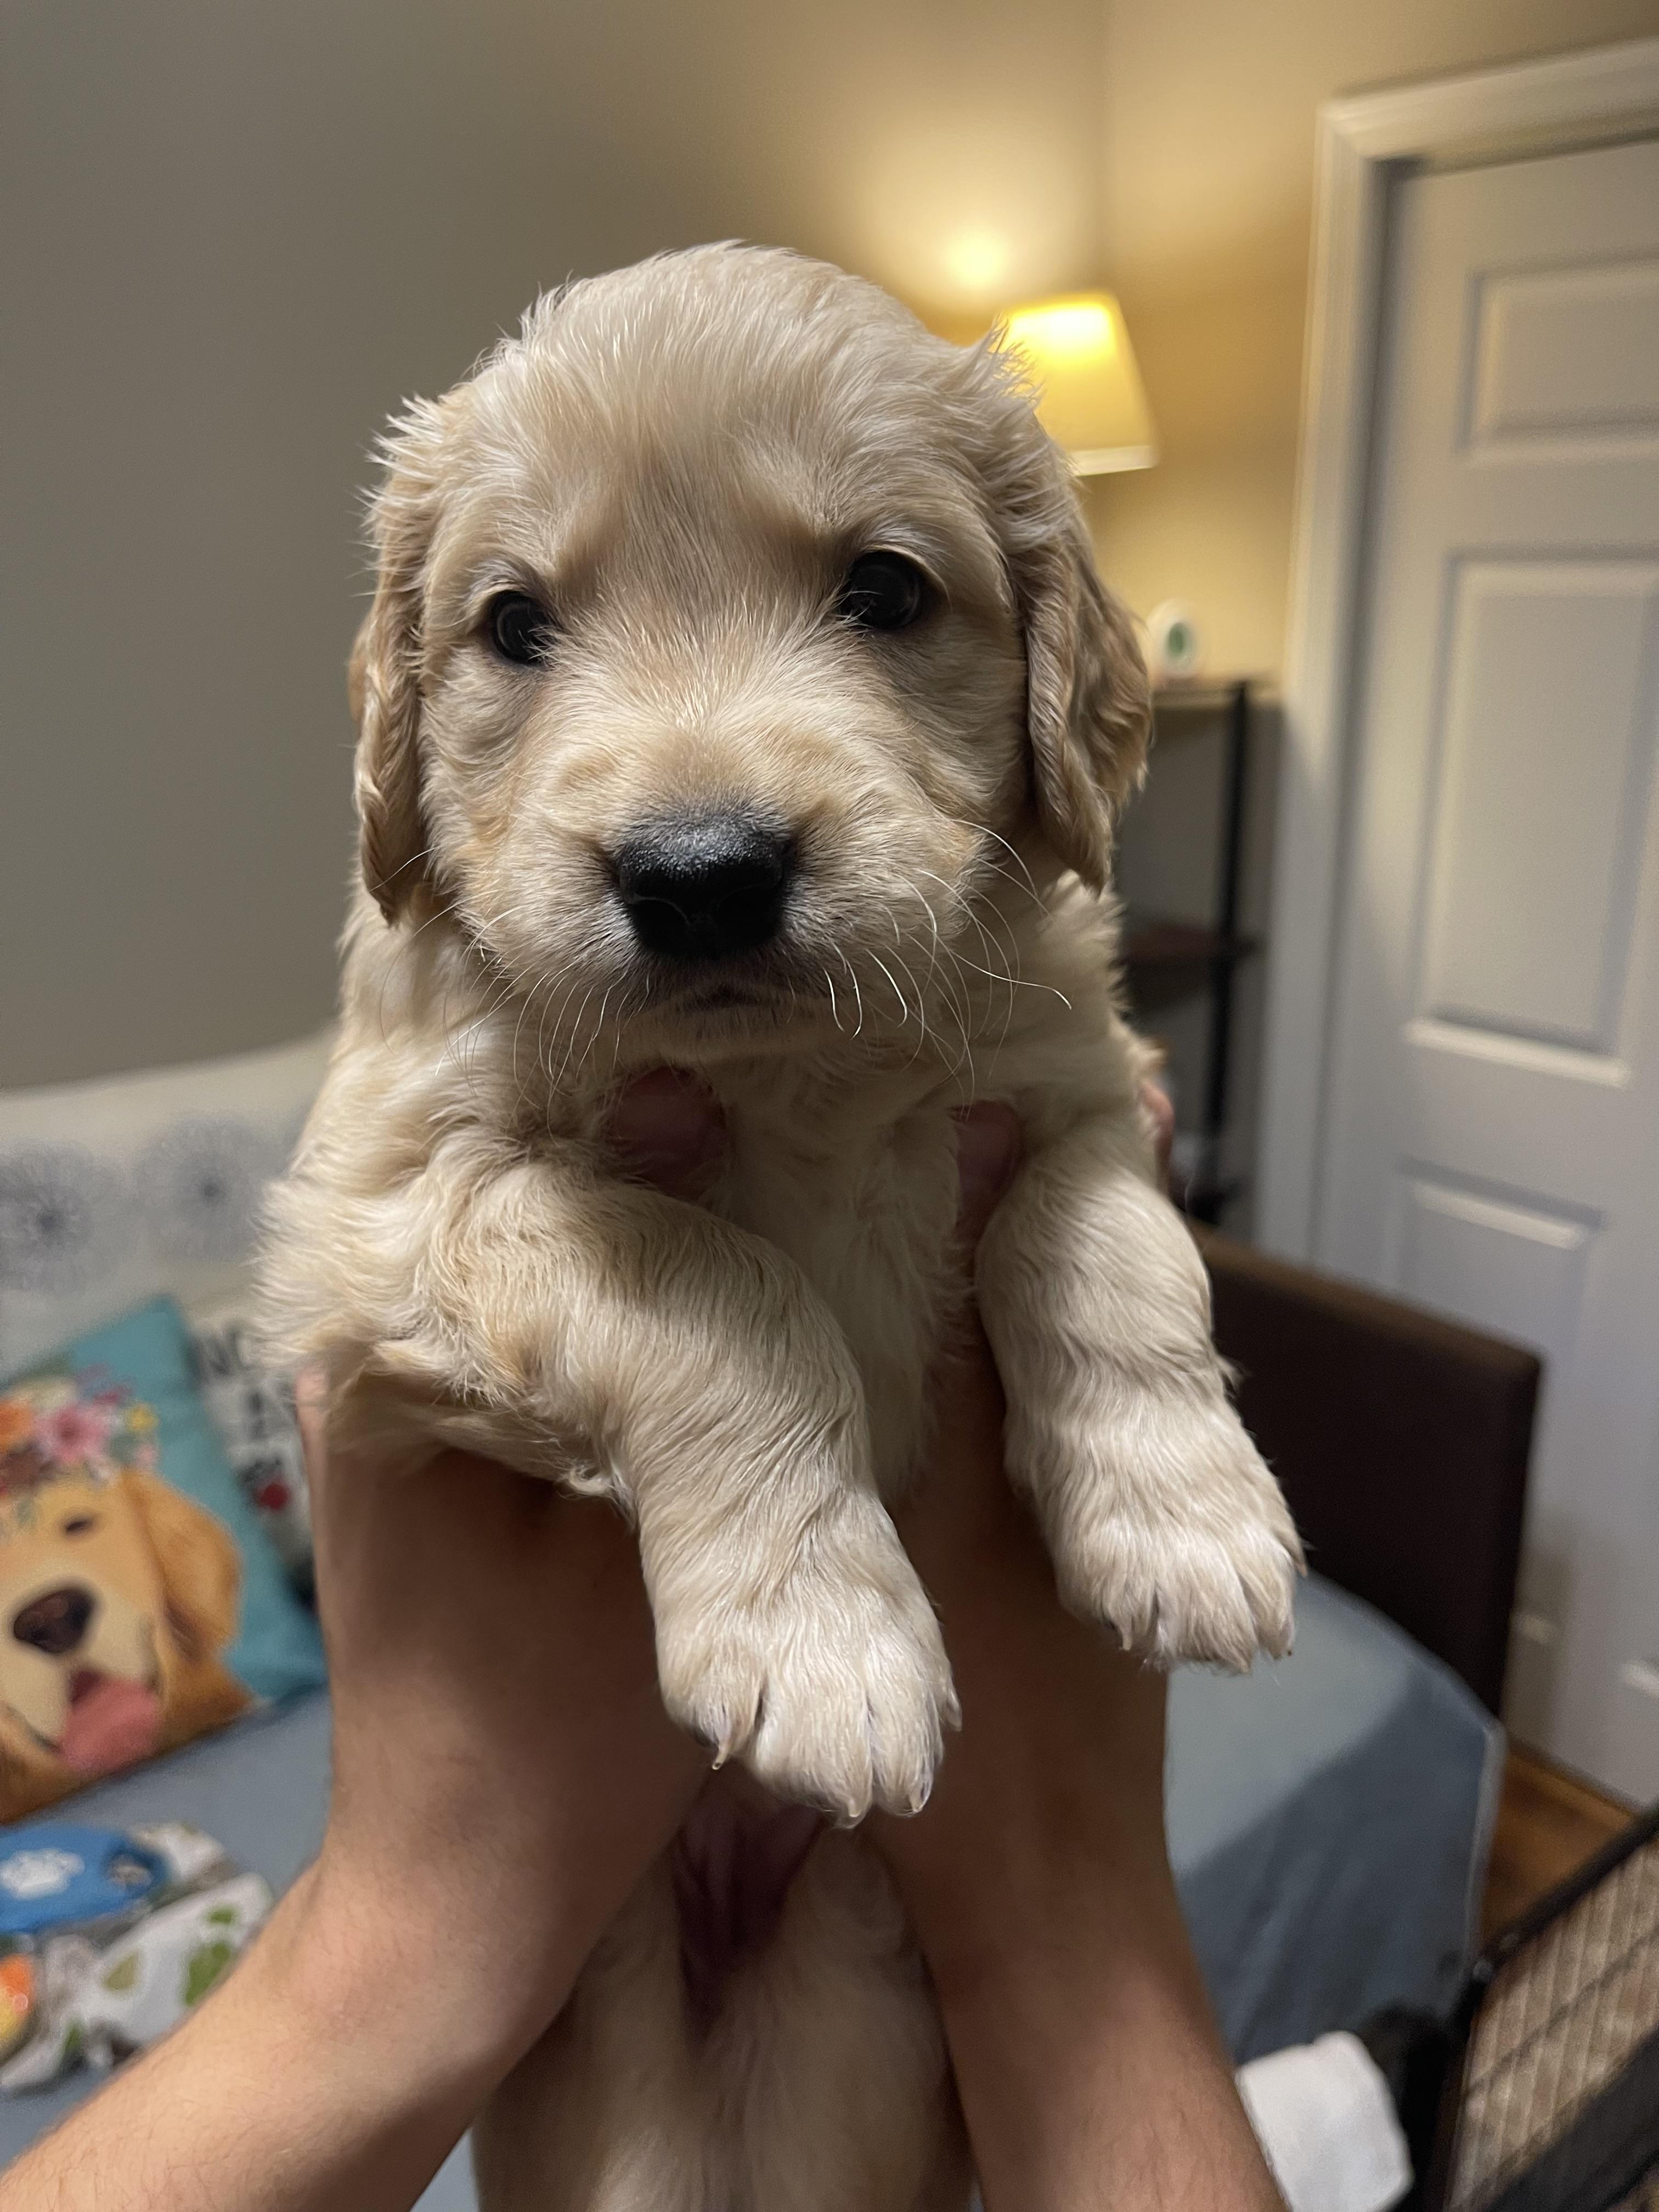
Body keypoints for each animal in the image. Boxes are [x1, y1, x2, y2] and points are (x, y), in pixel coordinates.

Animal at [261, 242, 1302, 2209]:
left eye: (886, 589)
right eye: (513, 625)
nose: (698, 877)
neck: (790, 1072)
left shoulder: (1075, 1077)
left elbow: (1109, 1254)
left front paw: (1183, 1518)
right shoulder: (377, 1217)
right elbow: (717, 1281)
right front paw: (822, 1636)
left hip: (851, 2013)